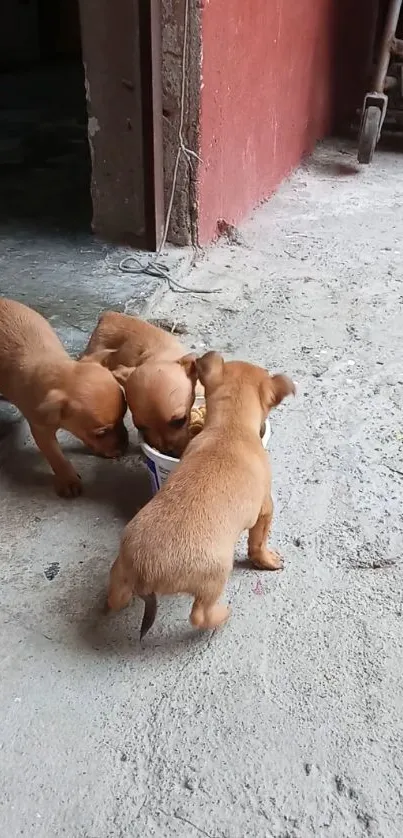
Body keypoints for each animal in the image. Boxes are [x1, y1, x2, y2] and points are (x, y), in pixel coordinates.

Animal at [0, 298, 128, 496]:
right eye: (100, 433)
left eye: (124, 415)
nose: (124, 445)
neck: (57, 370)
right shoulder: (41, 429)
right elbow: (56, 455)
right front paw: (68, 480)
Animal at [106, 352, 296, 640]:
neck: (229, 426)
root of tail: (144, 573)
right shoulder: (265, 510)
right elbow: (258, 543)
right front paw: (267, 560)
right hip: (216, 576)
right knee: (199, 616)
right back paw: (222, 615)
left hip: (120, 568)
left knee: (114, 596)